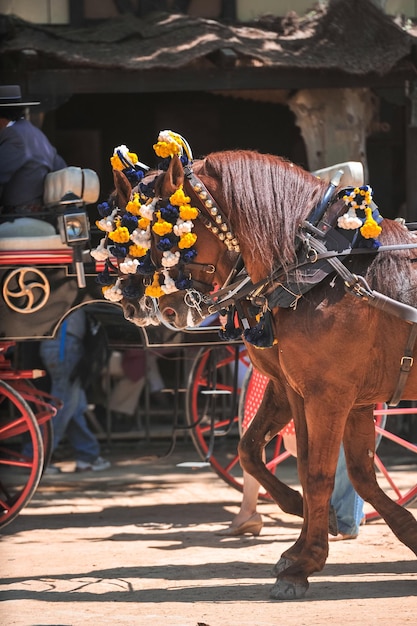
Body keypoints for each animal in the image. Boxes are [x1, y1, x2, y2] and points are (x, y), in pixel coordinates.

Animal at [108, 149, 416, 596]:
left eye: (155, 234)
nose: (150, 308)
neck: (318, 271)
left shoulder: (330, 396)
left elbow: (321, 473)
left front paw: (304, 563)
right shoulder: (311, 393)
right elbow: (297, 462)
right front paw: (308, 530)